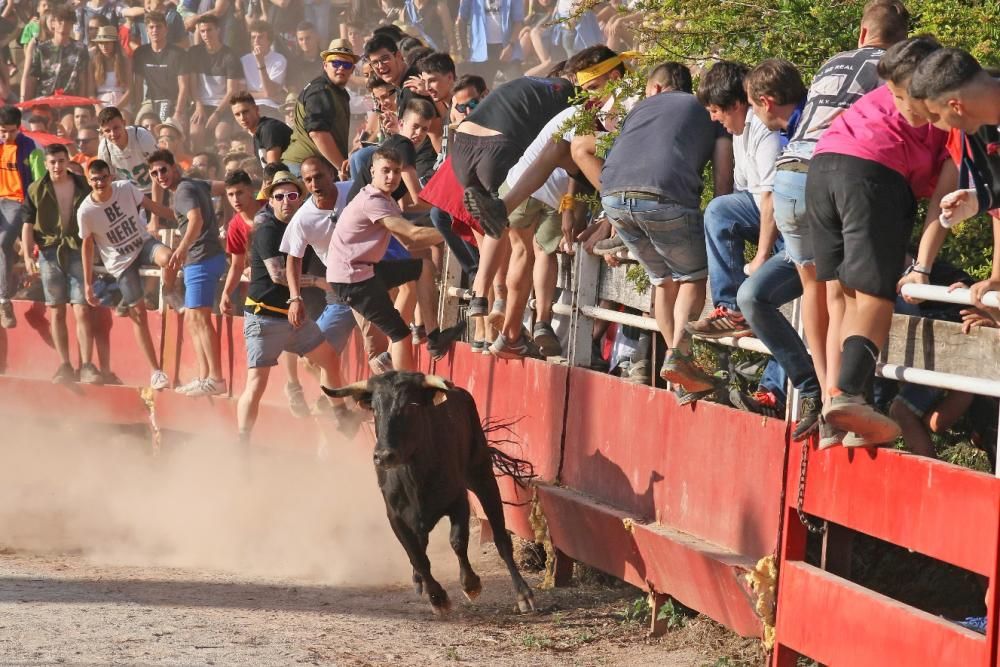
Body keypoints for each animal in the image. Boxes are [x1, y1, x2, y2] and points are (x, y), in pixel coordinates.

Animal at [324, 370, 536, 616]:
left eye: (411, 406)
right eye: (375, 409)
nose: (384, 456)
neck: (414, 475)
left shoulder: (459, 501)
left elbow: (457, 541)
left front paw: (471, 584)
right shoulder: (395, 516)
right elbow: (416, 555)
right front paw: (437, 597)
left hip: (482, 474)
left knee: (501, 538)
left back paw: (523, 594)